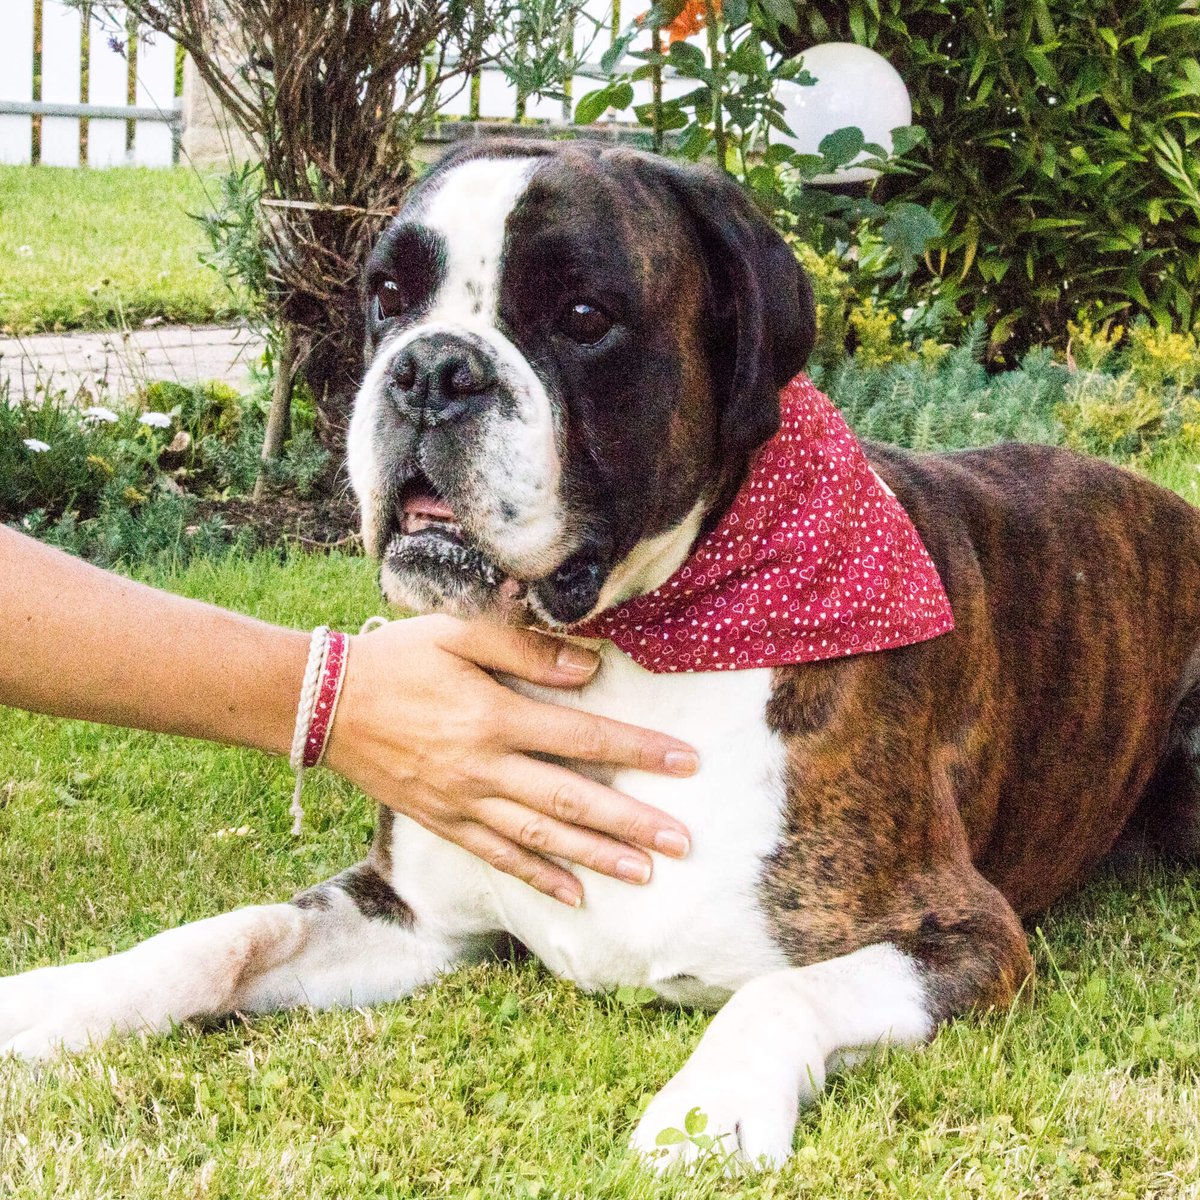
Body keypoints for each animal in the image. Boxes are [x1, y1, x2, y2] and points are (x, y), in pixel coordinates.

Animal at [2, 140, 1200, 1171]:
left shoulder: (964, 935)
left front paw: (710, 1114)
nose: (432, 369)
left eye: (584, 315)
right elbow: (227, 935)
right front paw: (56, 1001)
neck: (631, 642)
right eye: (389, 297)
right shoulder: (415, 914)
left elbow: (781, 991)